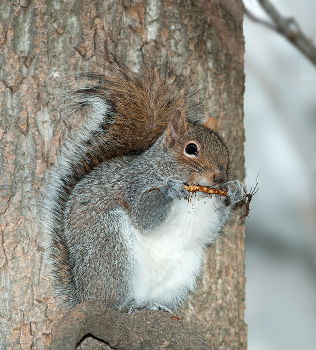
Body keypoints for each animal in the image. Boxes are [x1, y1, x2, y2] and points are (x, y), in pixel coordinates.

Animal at [42, 49, 244, 312]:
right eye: (191, 149)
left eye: (225, 150)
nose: (219, 177)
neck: (196, 194)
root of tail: (83, 294)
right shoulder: (135, 184)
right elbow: (144, 217)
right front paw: (169, 189)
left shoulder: (206, 210)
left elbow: (212, 224)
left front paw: (234, 190)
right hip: (111, 245)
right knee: (112, 298)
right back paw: (128, 305)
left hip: (181, 271)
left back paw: (155, 306)